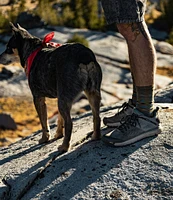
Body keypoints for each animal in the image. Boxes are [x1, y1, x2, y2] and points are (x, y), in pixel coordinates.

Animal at [0, 23, 102, 152]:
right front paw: (58, 135)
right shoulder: (59, 96)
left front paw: (45, 138)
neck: (32, 51)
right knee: (97, 117)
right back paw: (95, 137)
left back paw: (64, 146)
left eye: (8, 48)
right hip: (92, 92)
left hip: (65, 98)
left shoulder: (38, 98)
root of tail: (84, 56)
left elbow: (44, 123)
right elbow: (59, 119)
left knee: (70, 123)